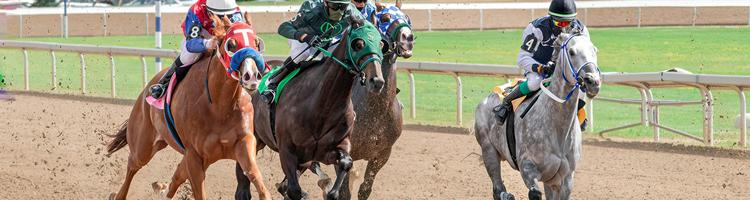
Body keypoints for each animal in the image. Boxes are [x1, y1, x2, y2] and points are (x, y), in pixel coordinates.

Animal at [104, 14, 272, 200]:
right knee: (133, 165)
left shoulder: (243, 143)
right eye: (231, 45)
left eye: (256, 43)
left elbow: (257, 179)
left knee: (177, 174)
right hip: (143, 146)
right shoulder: (194, 156)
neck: (219, 106)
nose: (252, 76)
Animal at [476, 31, 604, 200]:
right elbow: (535, 193)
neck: (557, 129)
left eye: (595, 50)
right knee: (497, 188)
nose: (593, 82)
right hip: (488, 150)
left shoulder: (564, 178)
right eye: (571, 52)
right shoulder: (527, 166)